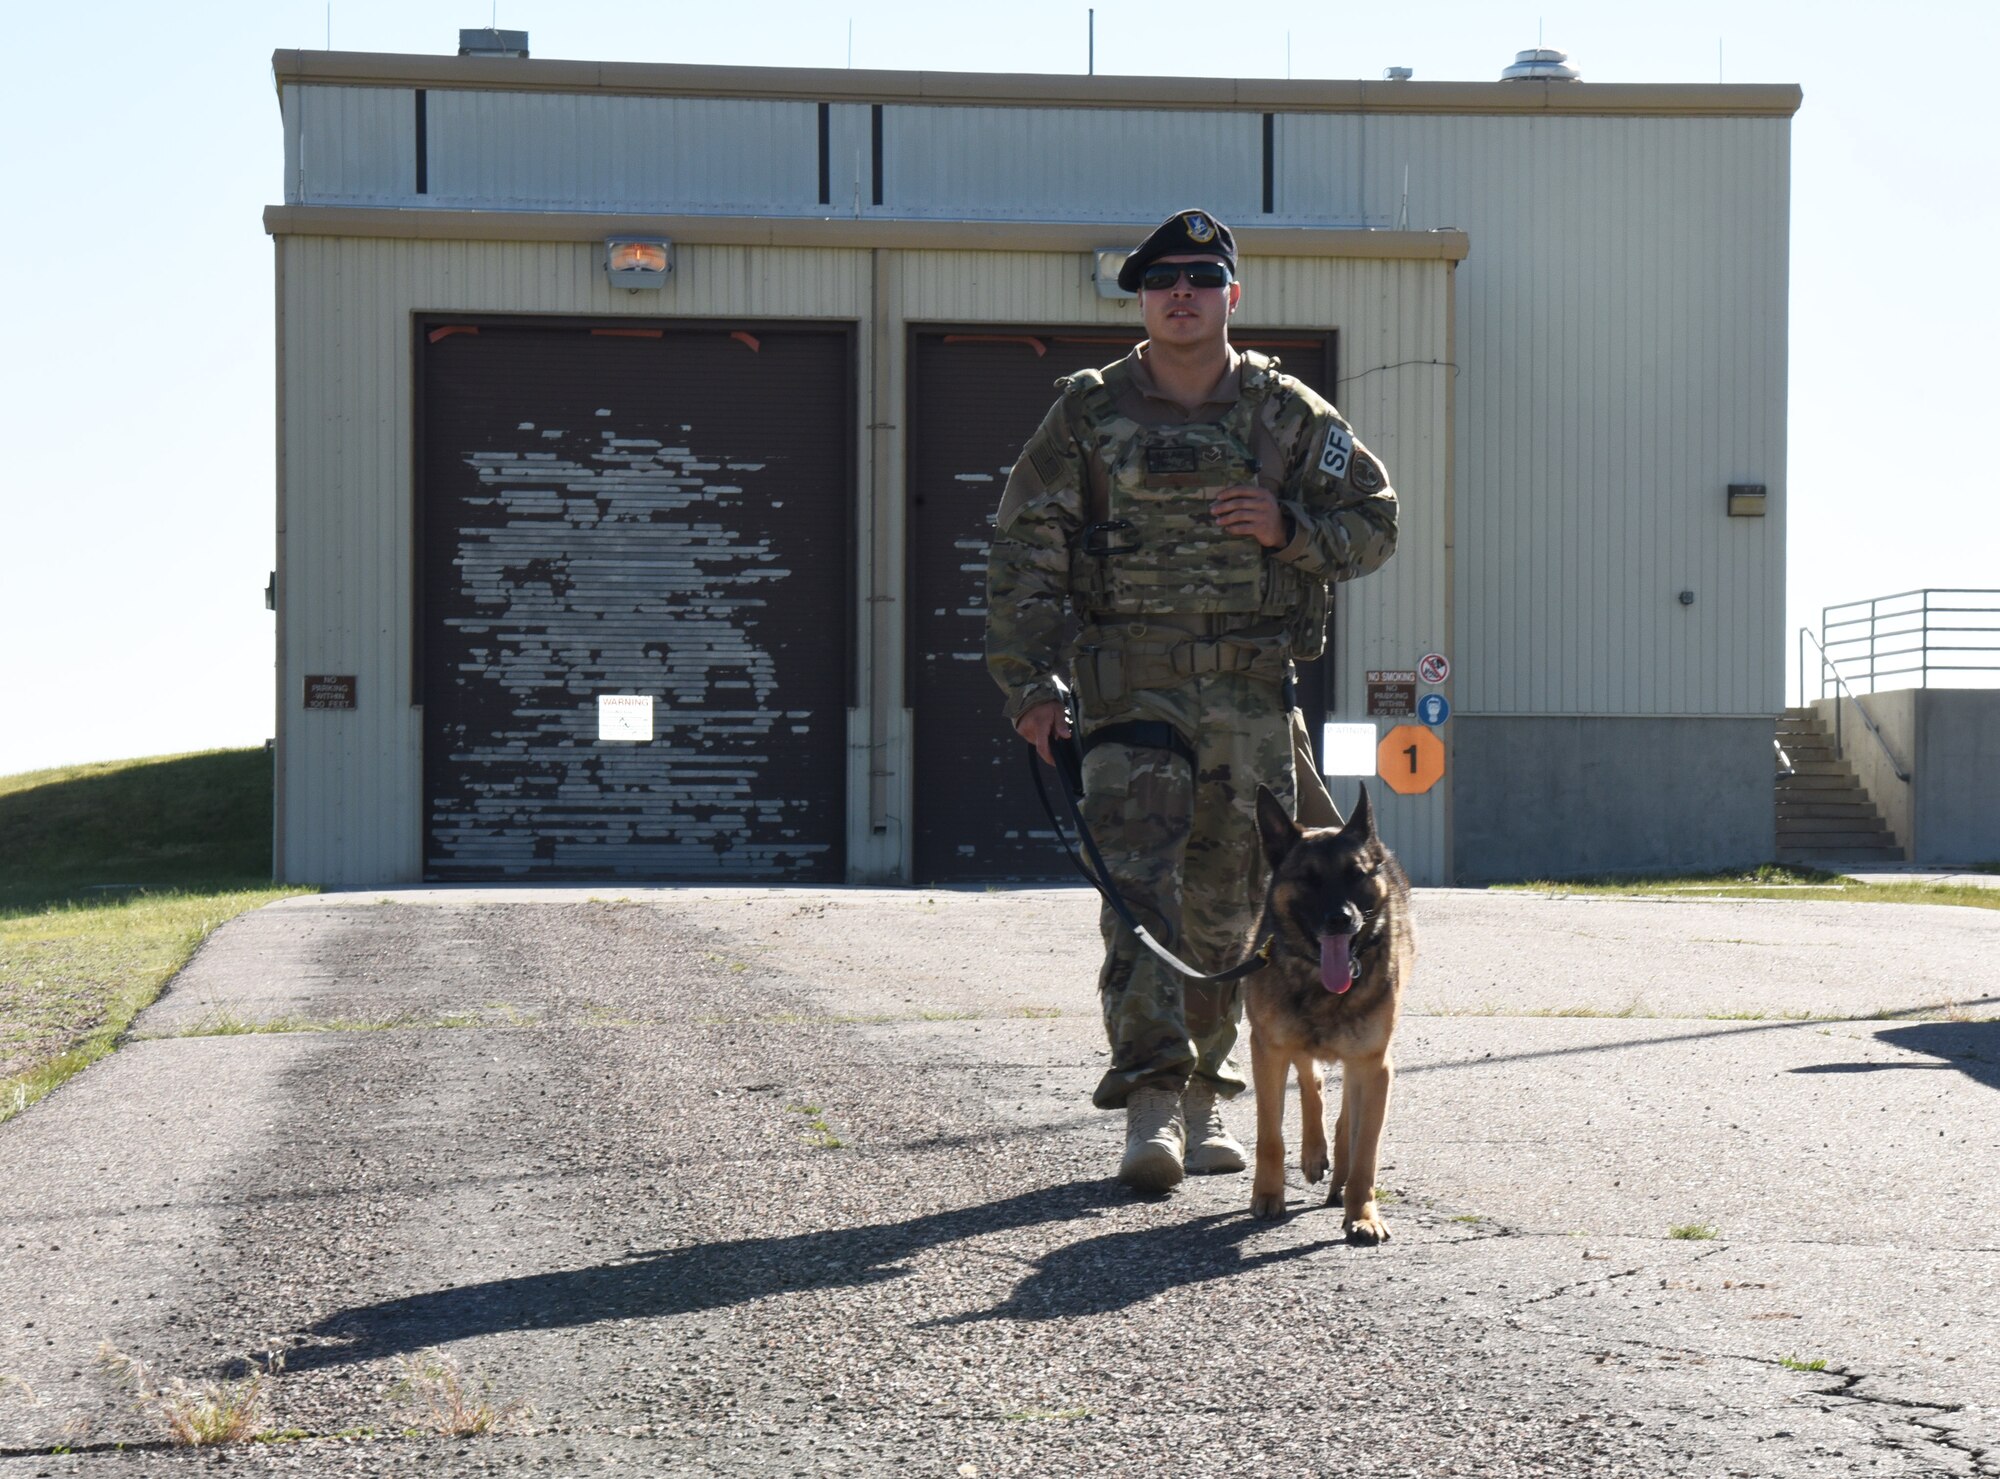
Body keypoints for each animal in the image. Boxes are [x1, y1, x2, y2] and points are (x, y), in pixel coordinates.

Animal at [1240, 779, 1416, 1239]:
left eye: (1356, 875)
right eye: (1309, 879)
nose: (1341, 919)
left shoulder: (1375, 1065)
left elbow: (1366, 1151)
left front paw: (1362, 1214)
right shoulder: (1268, 1052)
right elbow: (1270, 1136)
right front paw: (1268, 1195)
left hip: (1362, 1061)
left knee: (1344, 1119)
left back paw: (1337, 1177)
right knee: (1311, 1081)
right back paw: (1313, 1154)